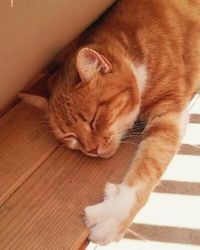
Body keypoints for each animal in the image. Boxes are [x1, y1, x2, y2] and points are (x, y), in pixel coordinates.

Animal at [20, 0, 200, 246]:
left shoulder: (169, 112)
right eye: (70, 137)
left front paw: (113, 215)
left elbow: (148, 165)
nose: (92, 150)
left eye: (94, 119)